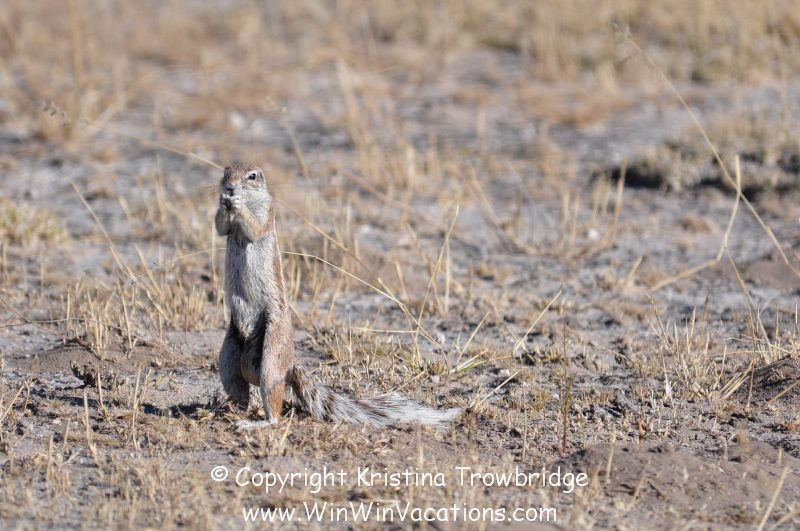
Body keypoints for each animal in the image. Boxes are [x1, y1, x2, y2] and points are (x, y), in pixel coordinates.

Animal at [215, 163, 461, 429]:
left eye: (252, 176)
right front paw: (223, 202)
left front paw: (236, 203)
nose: (229, 187)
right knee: (238, 389)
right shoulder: (227, 226)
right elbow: (220, 227)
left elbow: (256, 226)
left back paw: (256, 422)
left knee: (273, 406)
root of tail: (290, 365)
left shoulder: (267, 212)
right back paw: (228, 408)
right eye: (226, 171)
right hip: (227, 358)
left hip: (272, 355)